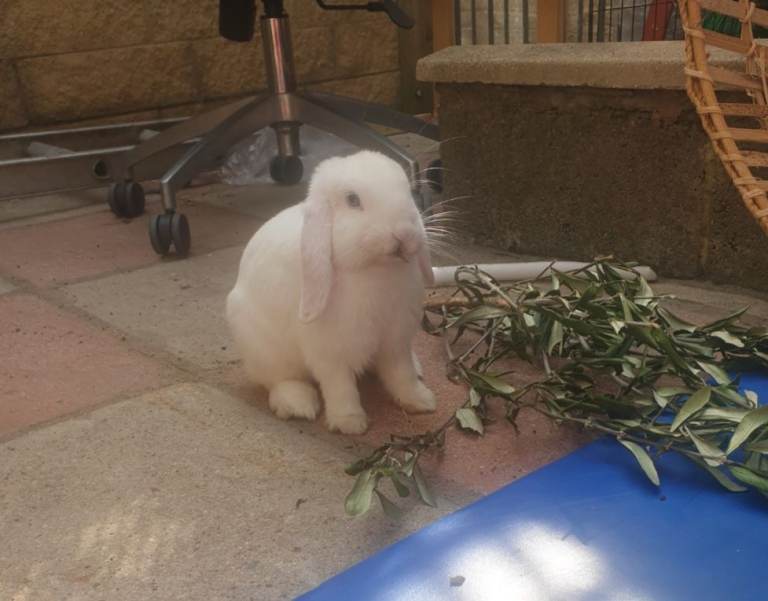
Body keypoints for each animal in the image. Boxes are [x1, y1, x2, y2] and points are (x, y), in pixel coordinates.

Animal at [226, 150, 437, 435]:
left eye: (407, 192)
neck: (374, 270)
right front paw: (350, 423)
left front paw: (421, 401)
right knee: (277, 379)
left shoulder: (396, 341)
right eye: (352, 200)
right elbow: (339, 386)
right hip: (264, 349)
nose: (404, 233)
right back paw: (298, 404)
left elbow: (401, 374)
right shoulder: (329, 352)